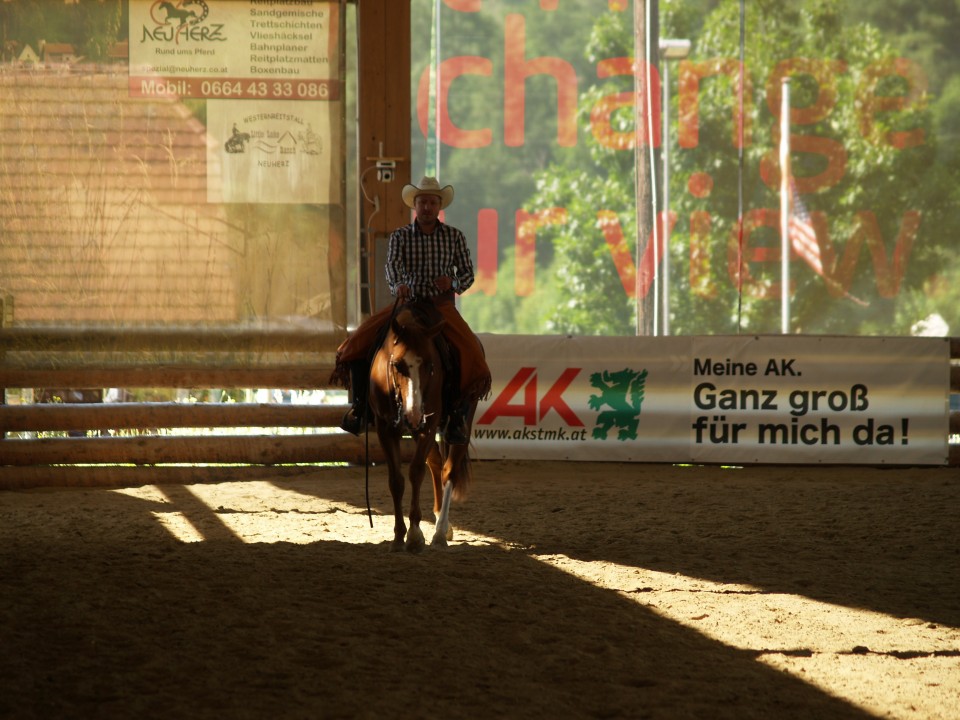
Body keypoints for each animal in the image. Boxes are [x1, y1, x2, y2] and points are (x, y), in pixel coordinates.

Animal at [366, 300, 474, 556]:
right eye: (397, 365)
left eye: (431, 365)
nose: (413, 414)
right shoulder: (385, 428)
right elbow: (396, 480)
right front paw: (398, 536)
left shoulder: (429, 424)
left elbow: (415, 472)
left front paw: (415, 535)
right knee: (436, 463)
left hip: (461, 423)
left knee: (449, 470)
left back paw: (440, 531)